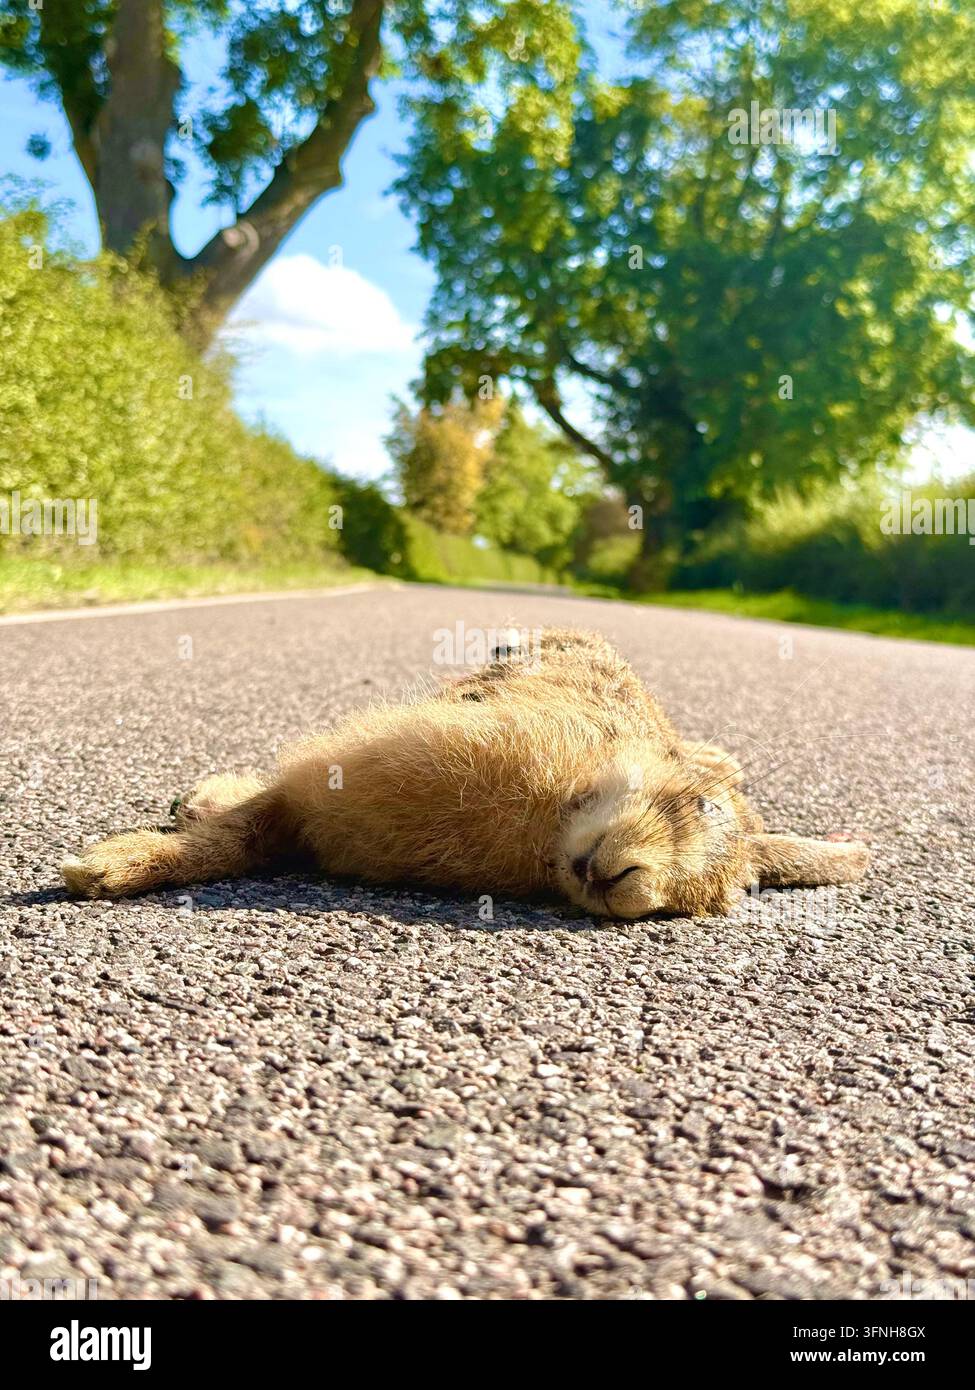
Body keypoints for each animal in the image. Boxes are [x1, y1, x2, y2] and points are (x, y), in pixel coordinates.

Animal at [61, 626, 869, 918]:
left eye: (690, 907)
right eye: (696, 802)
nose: (625, 885)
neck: (551, 824)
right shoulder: (313, 786)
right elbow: (234, 835)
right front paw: (101, 870)